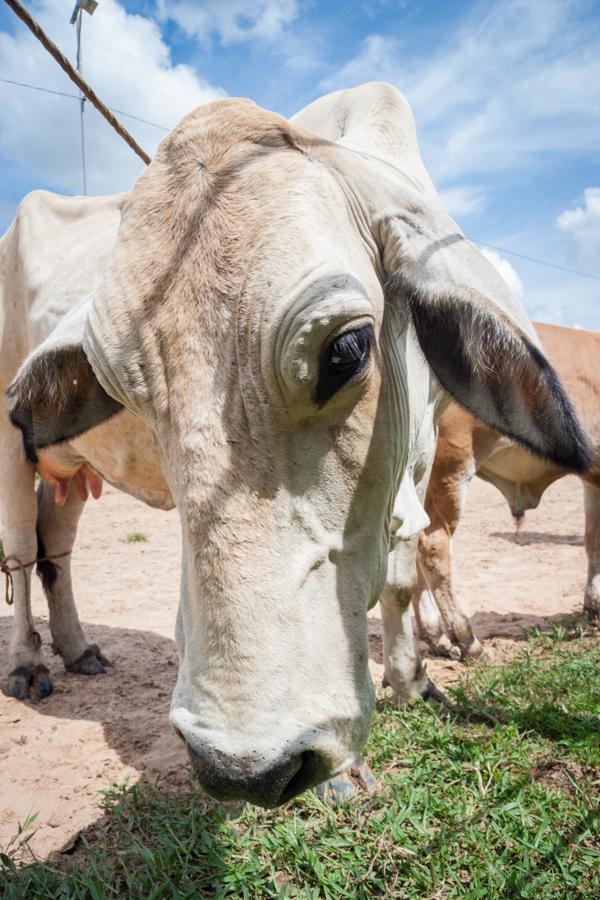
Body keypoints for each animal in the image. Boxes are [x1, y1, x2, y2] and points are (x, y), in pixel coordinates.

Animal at [0, 84, 592, 804]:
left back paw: (79, 648)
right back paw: (28, 662)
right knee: (21, 552)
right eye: (121, 390)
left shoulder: (421, 462)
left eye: (348, 349)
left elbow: (403, 578)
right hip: (8, 446)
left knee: (56, 550)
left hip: (67, 470)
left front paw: (414, 680)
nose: (243, 769)